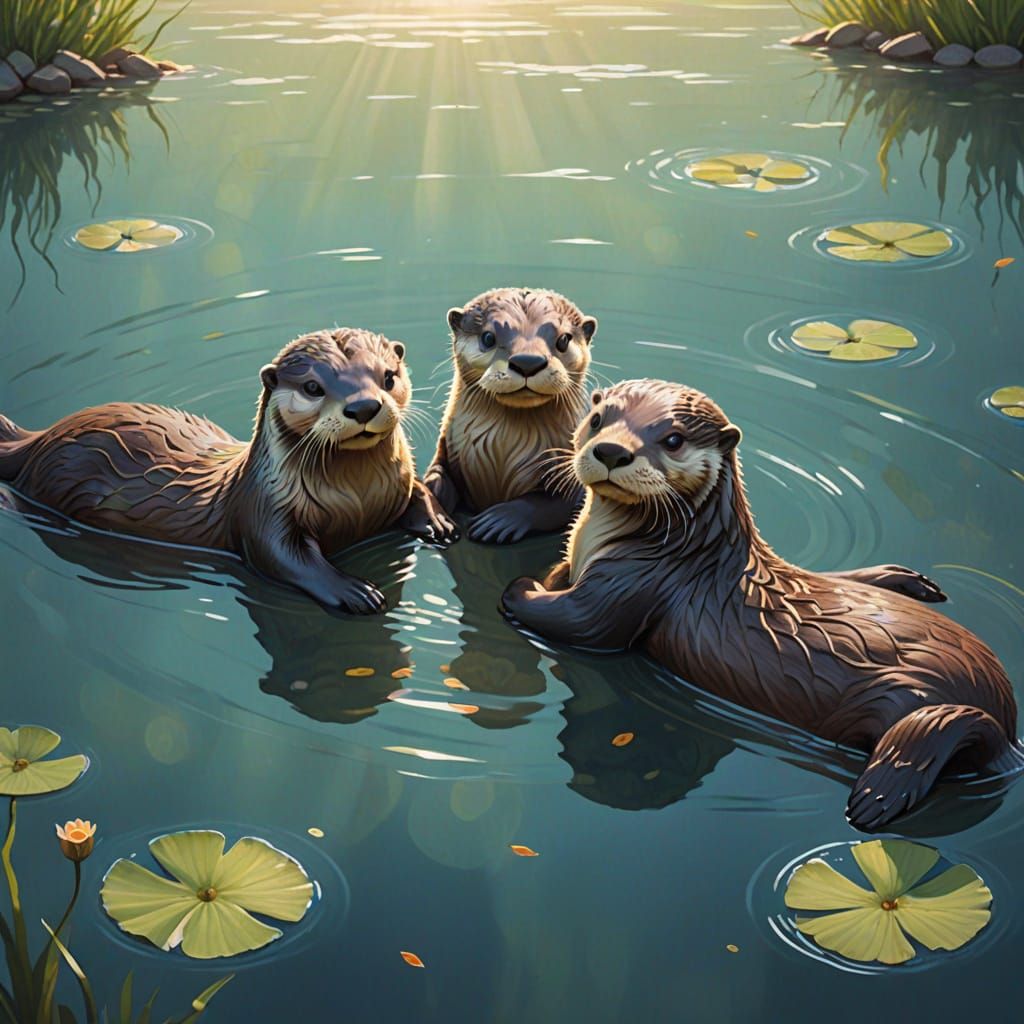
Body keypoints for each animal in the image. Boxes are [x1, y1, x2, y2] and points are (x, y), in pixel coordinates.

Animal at [0, 328, 456, 612]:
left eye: (388, 376)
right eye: (313, 387)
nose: (363, 406)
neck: (357, 501)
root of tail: (37, 438)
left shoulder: (396, 483)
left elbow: (417, 489)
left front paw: (438, 520)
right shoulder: (263, 509)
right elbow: (283, 557)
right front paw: (353, 590)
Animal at [424, 287, 597, 544]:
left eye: (564, 340)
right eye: (488, 338)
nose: (528, 361)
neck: (503, 452)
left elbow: (555, 502)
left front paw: (499, 520)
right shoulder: (447, 447)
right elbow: (434, 477)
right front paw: (434, 513)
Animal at [501, 379, 1019, 830]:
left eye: (672, 439)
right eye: (598, 419)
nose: (611, 451)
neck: (672, 548)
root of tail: (1002, 703)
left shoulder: (626, 588)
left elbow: (570, 620)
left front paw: (522, 585)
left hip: (908, 695)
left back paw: (875, 797)